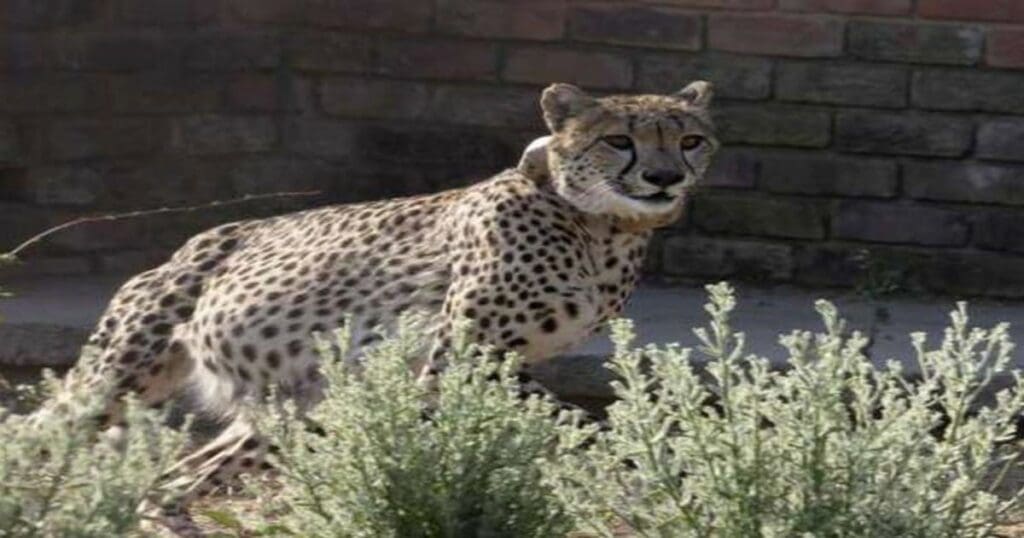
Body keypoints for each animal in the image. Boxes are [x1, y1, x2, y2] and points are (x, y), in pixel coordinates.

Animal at [36, 80, 719, 508]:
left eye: (690, 140)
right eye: (619, 140)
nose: (664, 177)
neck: (603, 228)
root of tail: (183, 250)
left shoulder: (496, 362)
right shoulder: (459, 357)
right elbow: (563, 419)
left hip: (294, 406)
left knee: (183, 476)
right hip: (116, 379)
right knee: (45, 433)